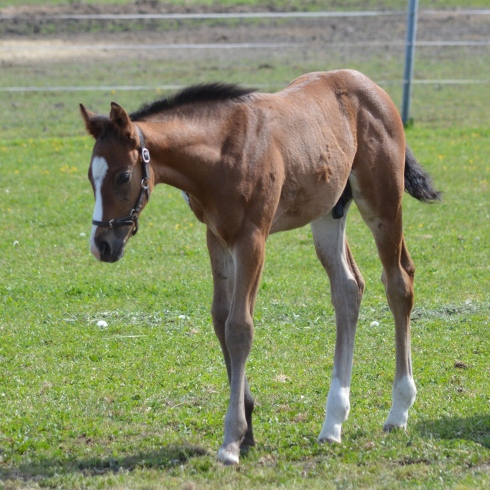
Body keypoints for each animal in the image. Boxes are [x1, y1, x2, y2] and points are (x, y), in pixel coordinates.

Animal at [80, 69, 440, 464]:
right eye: (90, 177)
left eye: (123, 176)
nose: (102, 245)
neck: (220, 153)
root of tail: (371, 87)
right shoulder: (216, 236)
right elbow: (220, 318)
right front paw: (248, 426)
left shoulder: (252, 237)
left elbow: (240, 327)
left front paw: (231, 440)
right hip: (328, 211)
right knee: (348, 289)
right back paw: (333, 424)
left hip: (382, 202)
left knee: (398, 282)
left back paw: (398, 411)